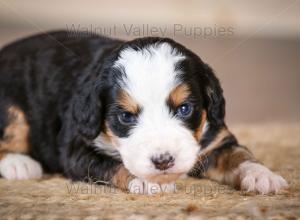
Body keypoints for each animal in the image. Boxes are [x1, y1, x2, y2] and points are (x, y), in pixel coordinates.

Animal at [0, 31, 288, 194]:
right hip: (11, 110)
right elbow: (112, 164)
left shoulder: (216, 140)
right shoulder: (77, 148)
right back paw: (18, 164)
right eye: (126, 117)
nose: (163, 161)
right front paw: (149, 181)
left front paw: (263, 176)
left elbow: (239, 156)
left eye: (185, 109)